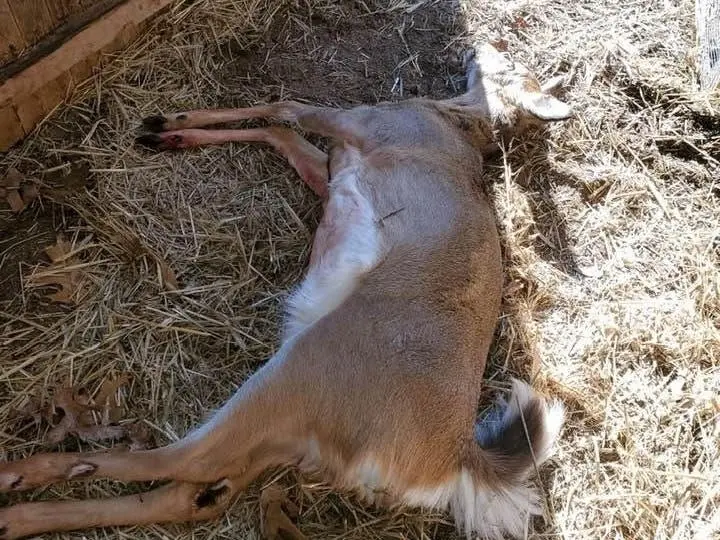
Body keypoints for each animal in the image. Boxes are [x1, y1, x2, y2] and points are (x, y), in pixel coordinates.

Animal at [0, 43, 572, 540]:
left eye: (511, 62)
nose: (480, 47)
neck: (450, 121)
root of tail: (454, 457)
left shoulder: (359, 123)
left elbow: (284, 106)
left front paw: (169, 122)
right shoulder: (336, 164)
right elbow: (282, 134)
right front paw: (170, 133)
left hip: (300, 374)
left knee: (185, 460)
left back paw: (21, 474)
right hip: (291, 435)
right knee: (195, 495)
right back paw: (19, 518)